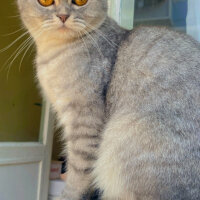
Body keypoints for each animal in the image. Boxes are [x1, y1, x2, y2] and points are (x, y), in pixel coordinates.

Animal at [17, 0, 200, 200]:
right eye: (45, 2)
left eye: (80, 2)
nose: (63, 16)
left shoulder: (84, 121)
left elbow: (78, 173)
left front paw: (68, 195)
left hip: (125, 133)